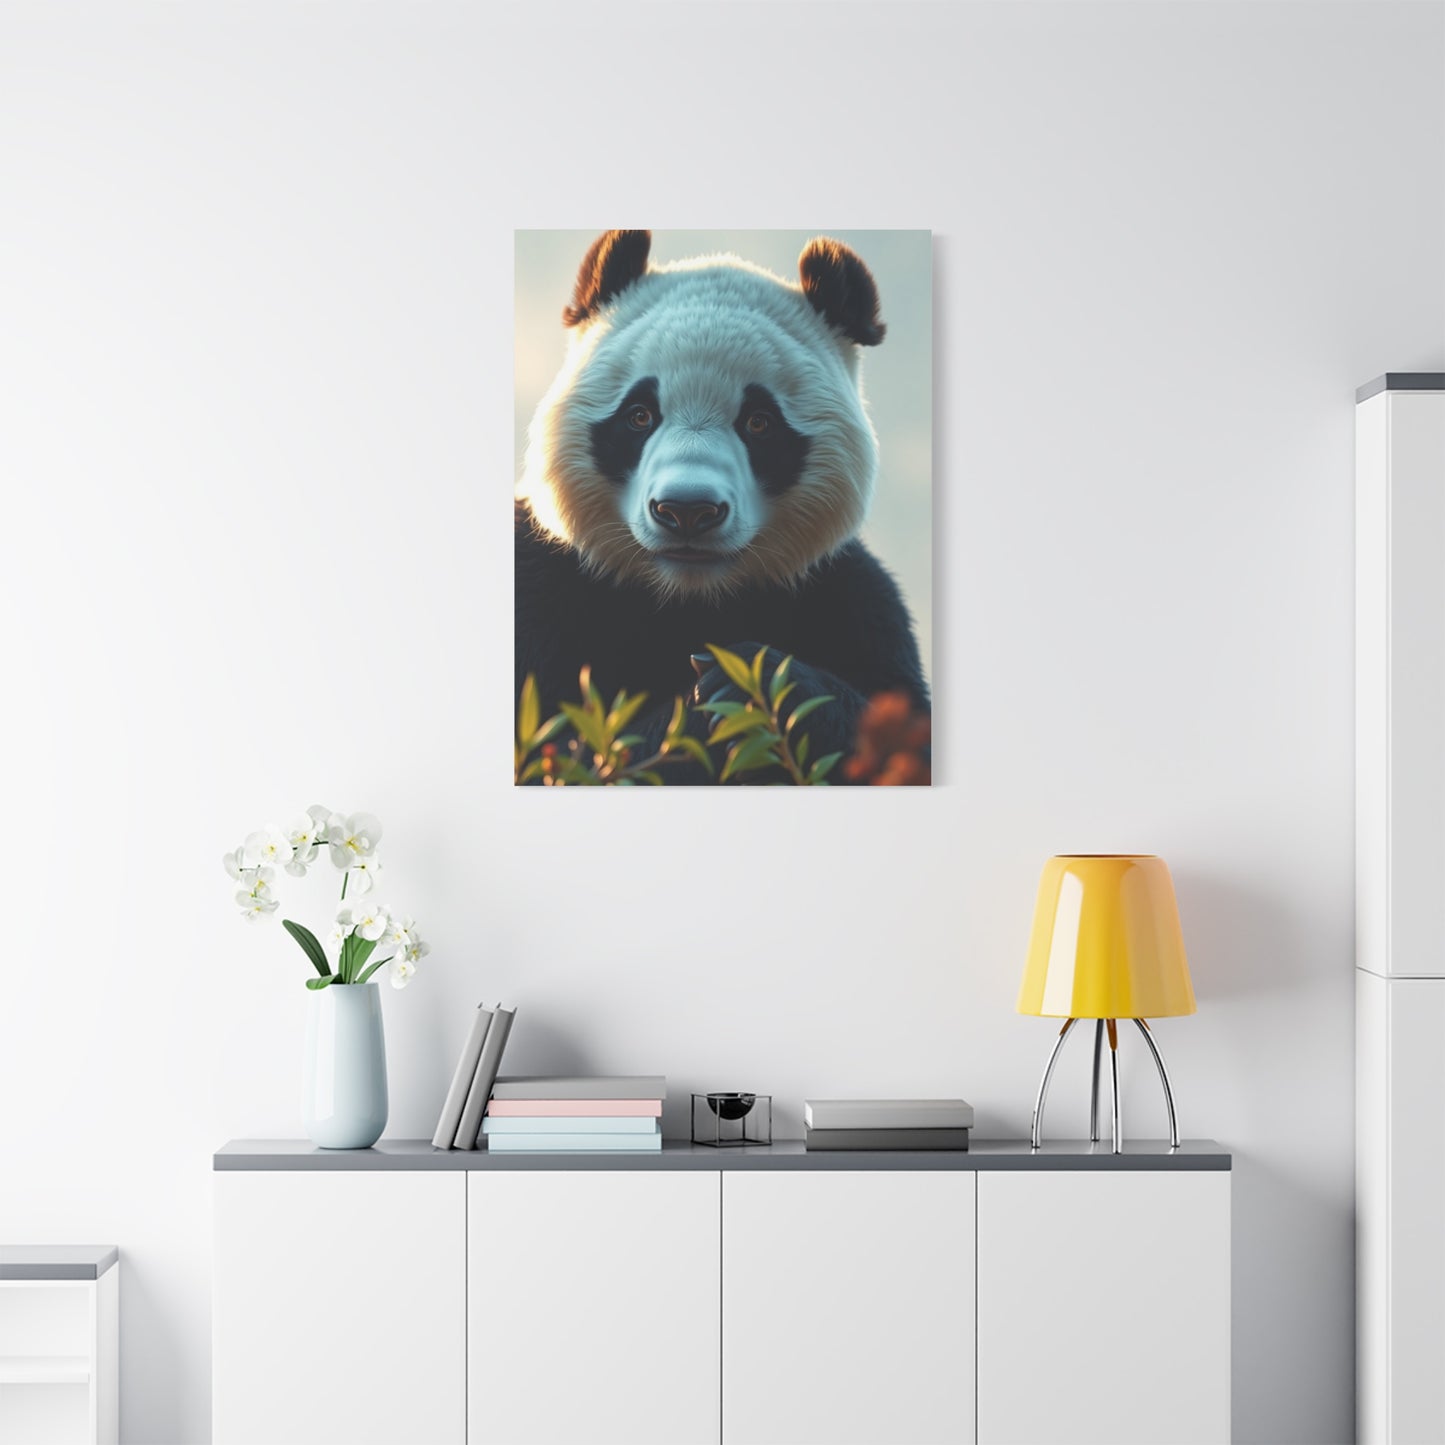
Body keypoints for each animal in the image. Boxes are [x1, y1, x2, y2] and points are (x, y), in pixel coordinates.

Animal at [515, 229, 928, 782]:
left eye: (758, 422)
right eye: (639, 415)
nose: (687, 510)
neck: (690, 597)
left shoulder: (849, 598)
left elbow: (903, 736)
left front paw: (752, 682)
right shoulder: (543, 587)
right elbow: (560, 752)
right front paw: (709, 702)